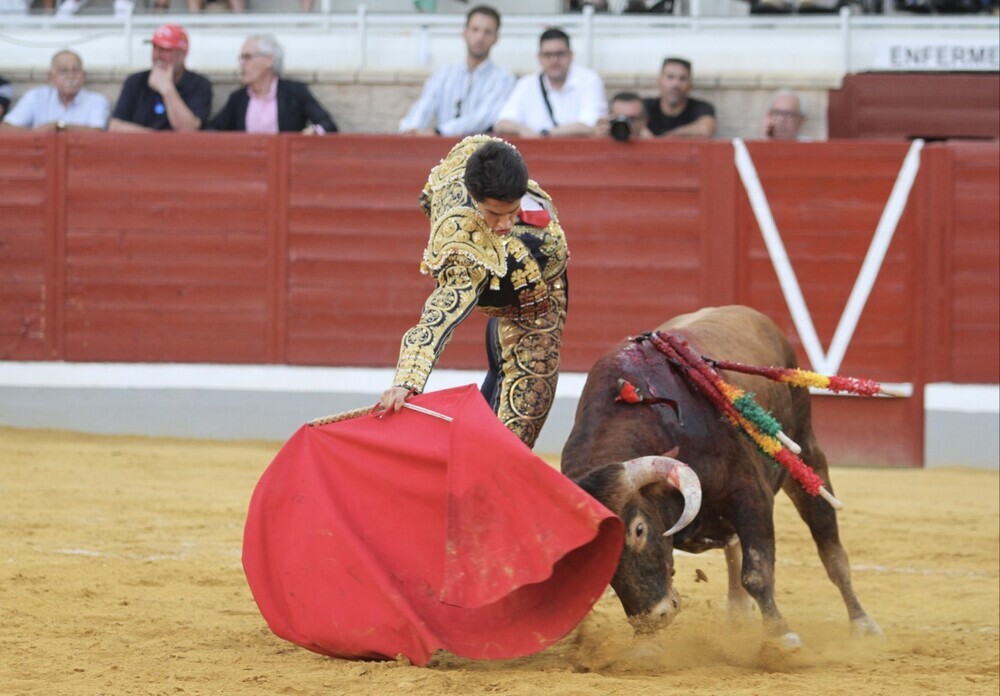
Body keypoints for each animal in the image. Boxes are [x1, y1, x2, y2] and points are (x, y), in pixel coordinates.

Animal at [564, 304, 884, 648]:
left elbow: (757, 572)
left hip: (805, 449)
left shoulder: (751, 497)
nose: (654, 617)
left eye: (638, 530)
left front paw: (781, 637)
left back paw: (863, 623)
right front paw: (645, 647)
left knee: (830, 548)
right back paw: (739, 616)